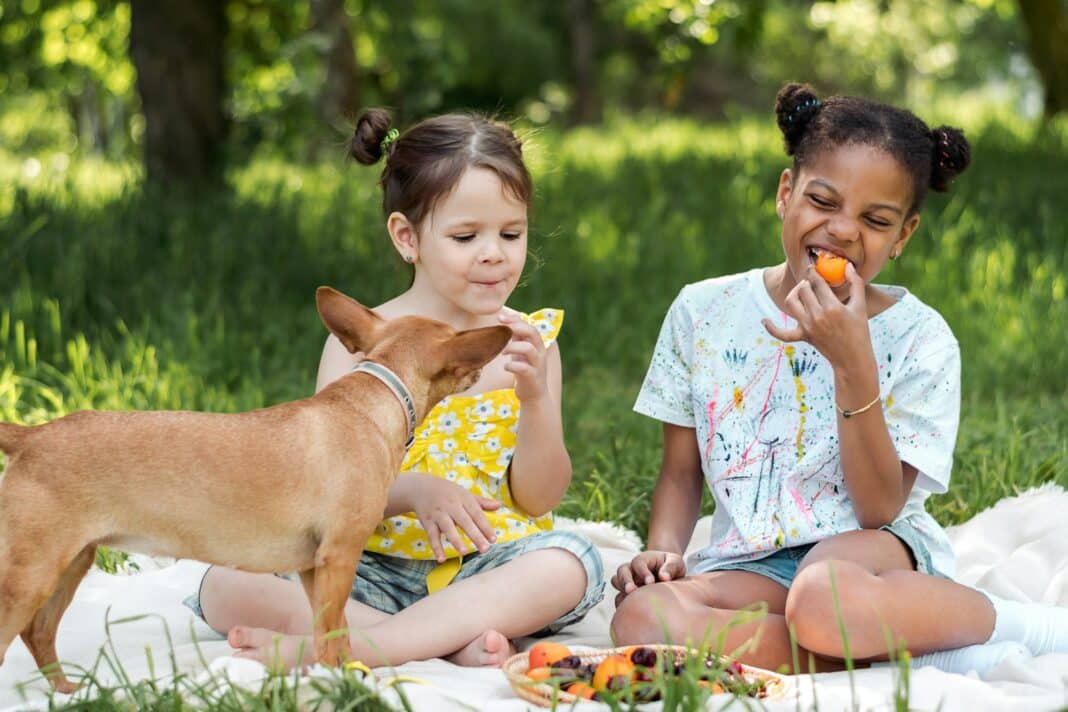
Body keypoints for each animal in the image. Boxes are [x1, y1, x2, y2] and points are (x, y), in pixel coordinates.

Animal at [0, 286, 512, 691]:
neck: (371, 402)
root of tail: (34, 435)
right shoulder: (339, 557)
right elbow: (331, 633)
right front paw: (341, 686)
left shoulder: (313, 569)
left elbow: (335, 631)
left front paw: (346, 675)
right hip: (32, 574)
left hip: (70, 564)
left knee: (38, 634)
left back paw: (68, 693)